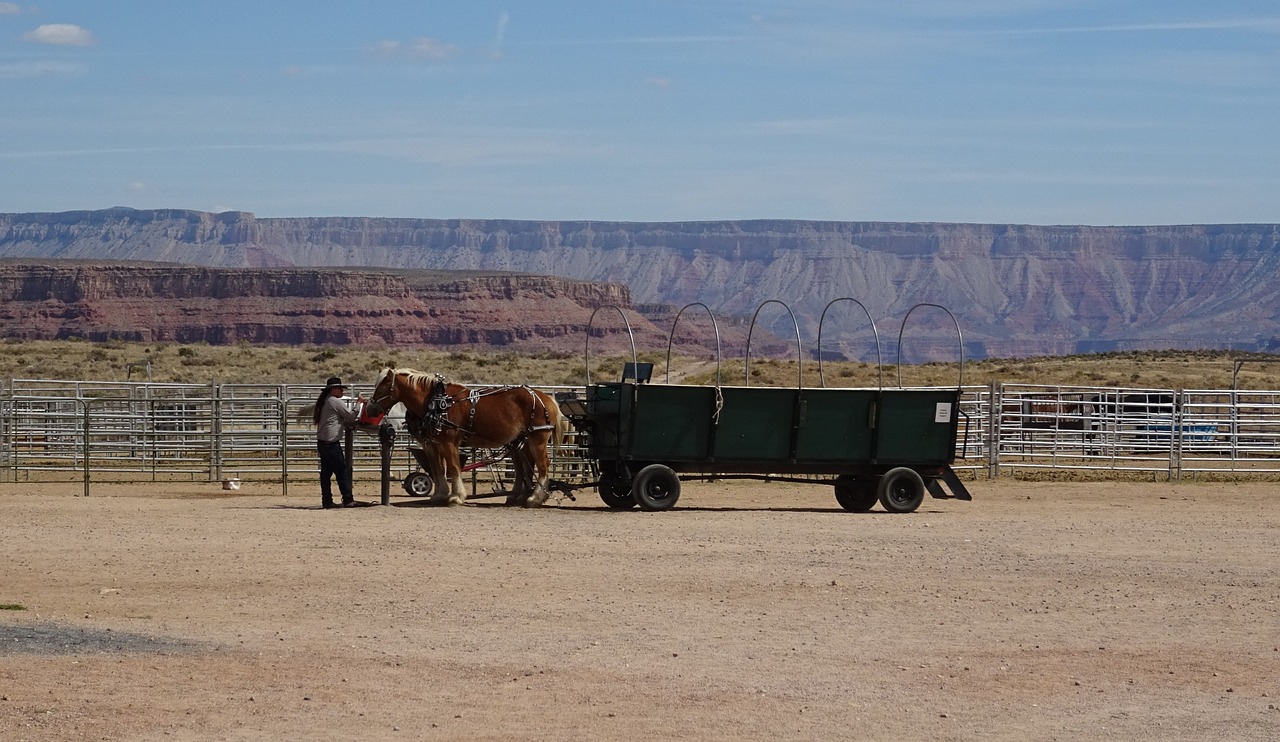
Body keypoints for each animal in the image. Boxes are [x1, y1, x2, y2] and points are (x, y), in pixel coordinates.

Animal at [373, 368, 568, 506]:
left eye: (383, 386)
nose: (370, 408)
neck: (436, 403)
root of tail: (546, 398)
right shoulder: (433, 443)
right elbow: (438, 469)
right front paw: (440, 494)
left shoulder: (448, 442)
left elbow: (453, 468)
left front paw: (457, 496)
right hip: (522, 441)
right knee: (526, 468)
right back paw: (520, 496)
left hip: (538, 438)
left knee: (543, 466)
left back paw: (535, 498)